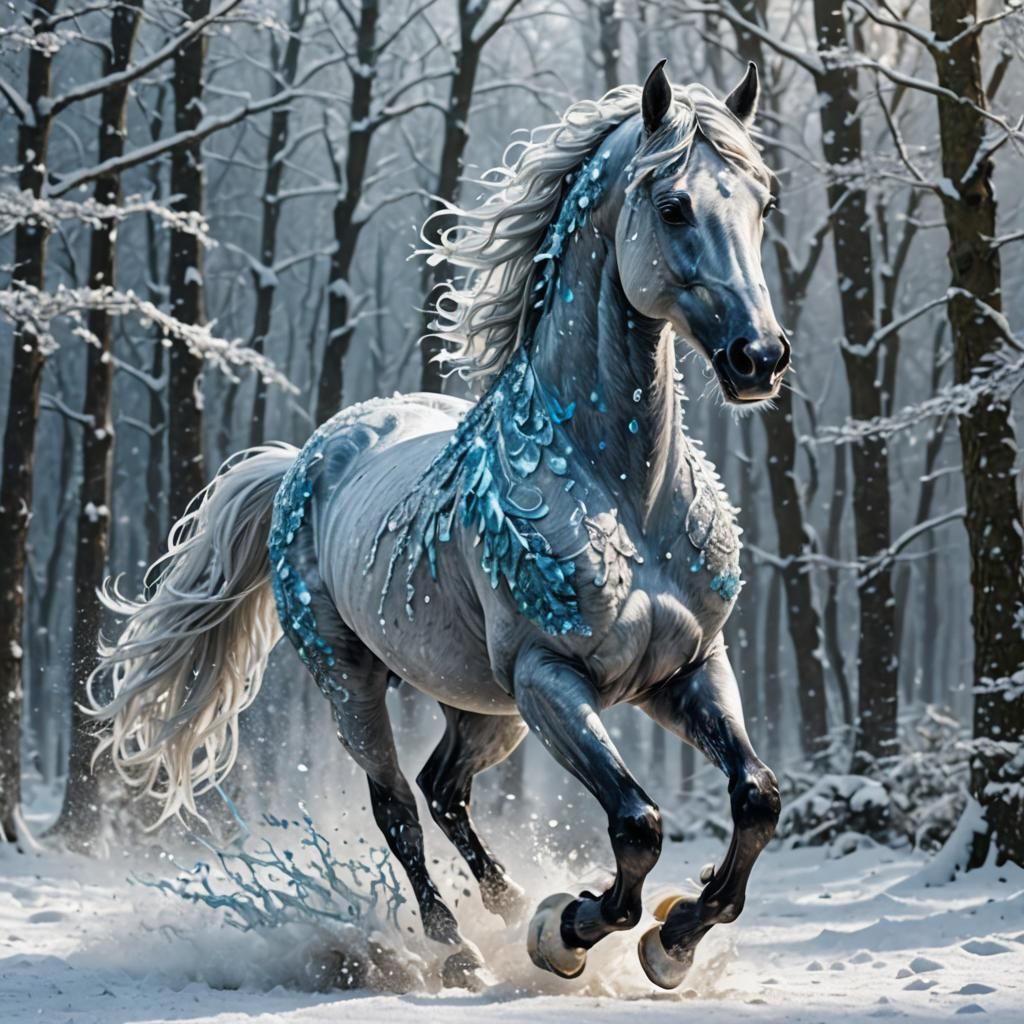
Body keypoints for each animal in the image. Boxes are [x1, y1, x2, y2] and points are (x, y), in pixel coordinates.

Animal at [92, 61, 789, 990]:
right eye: (674, 205)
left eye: (764, 201)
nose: (760, 359)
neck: (623, 496)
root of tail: (306, 458)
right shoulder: (551, 678)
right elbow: (636, 823)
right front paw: (570, 929)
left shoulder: (689, 669)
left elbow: (756, 798)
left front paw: (670, 941)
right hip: (356, 682)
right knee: (398, 805)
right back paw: (461, 948)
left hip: (482, 705)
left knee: (444, 788)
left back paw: (504, 903)